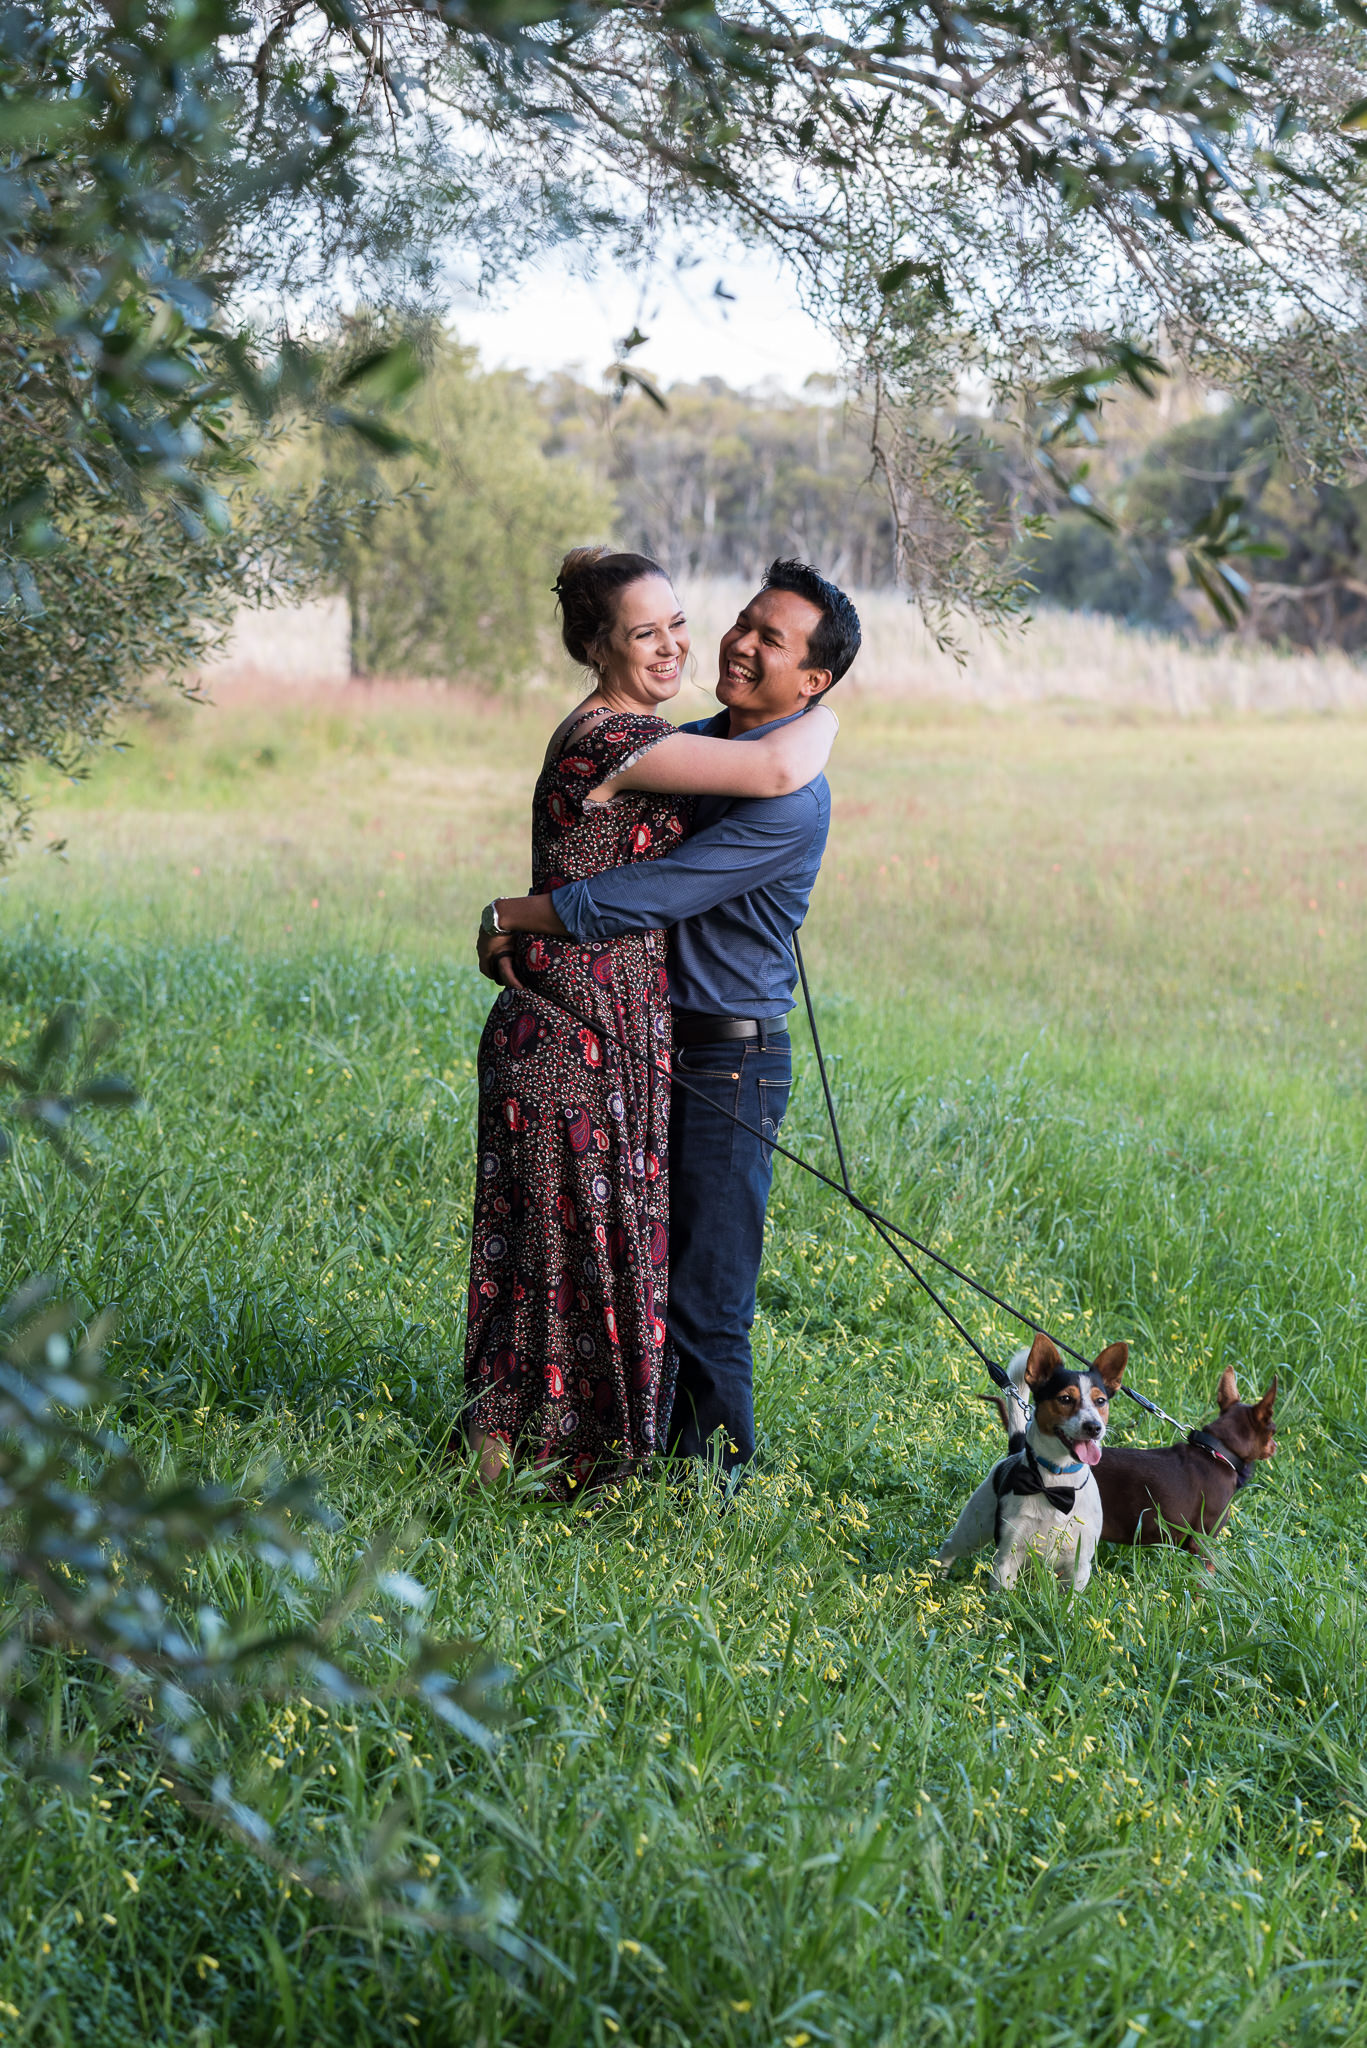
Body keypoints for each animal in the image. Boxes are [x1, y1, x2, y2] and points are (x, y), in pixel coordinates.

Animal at [930, 1327, 1131, 1597]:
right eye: (1065, 1399)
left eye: (1101, 1401)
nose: (1094, 1427)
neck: (1056, 1482)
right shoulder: (1007, 1558)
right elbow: (1003, 1599)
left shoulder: (1079, 1568)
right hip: (974, 1528)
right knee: (951, 1545)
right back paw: (937, 1575)